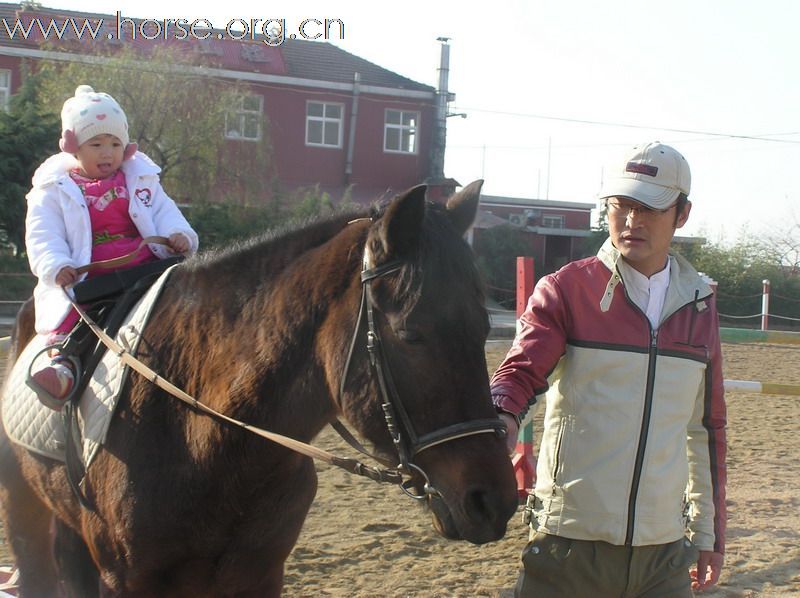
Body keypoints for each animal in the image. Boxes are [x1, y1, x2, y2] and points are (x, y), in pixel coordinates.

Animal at [0, 183, 520, 598]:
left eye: (483, 330)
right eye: (411, 336)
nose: (493, 501)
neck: (207, 439)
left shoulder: (259, 575)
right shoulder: (130, 581)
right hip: (26, 511)